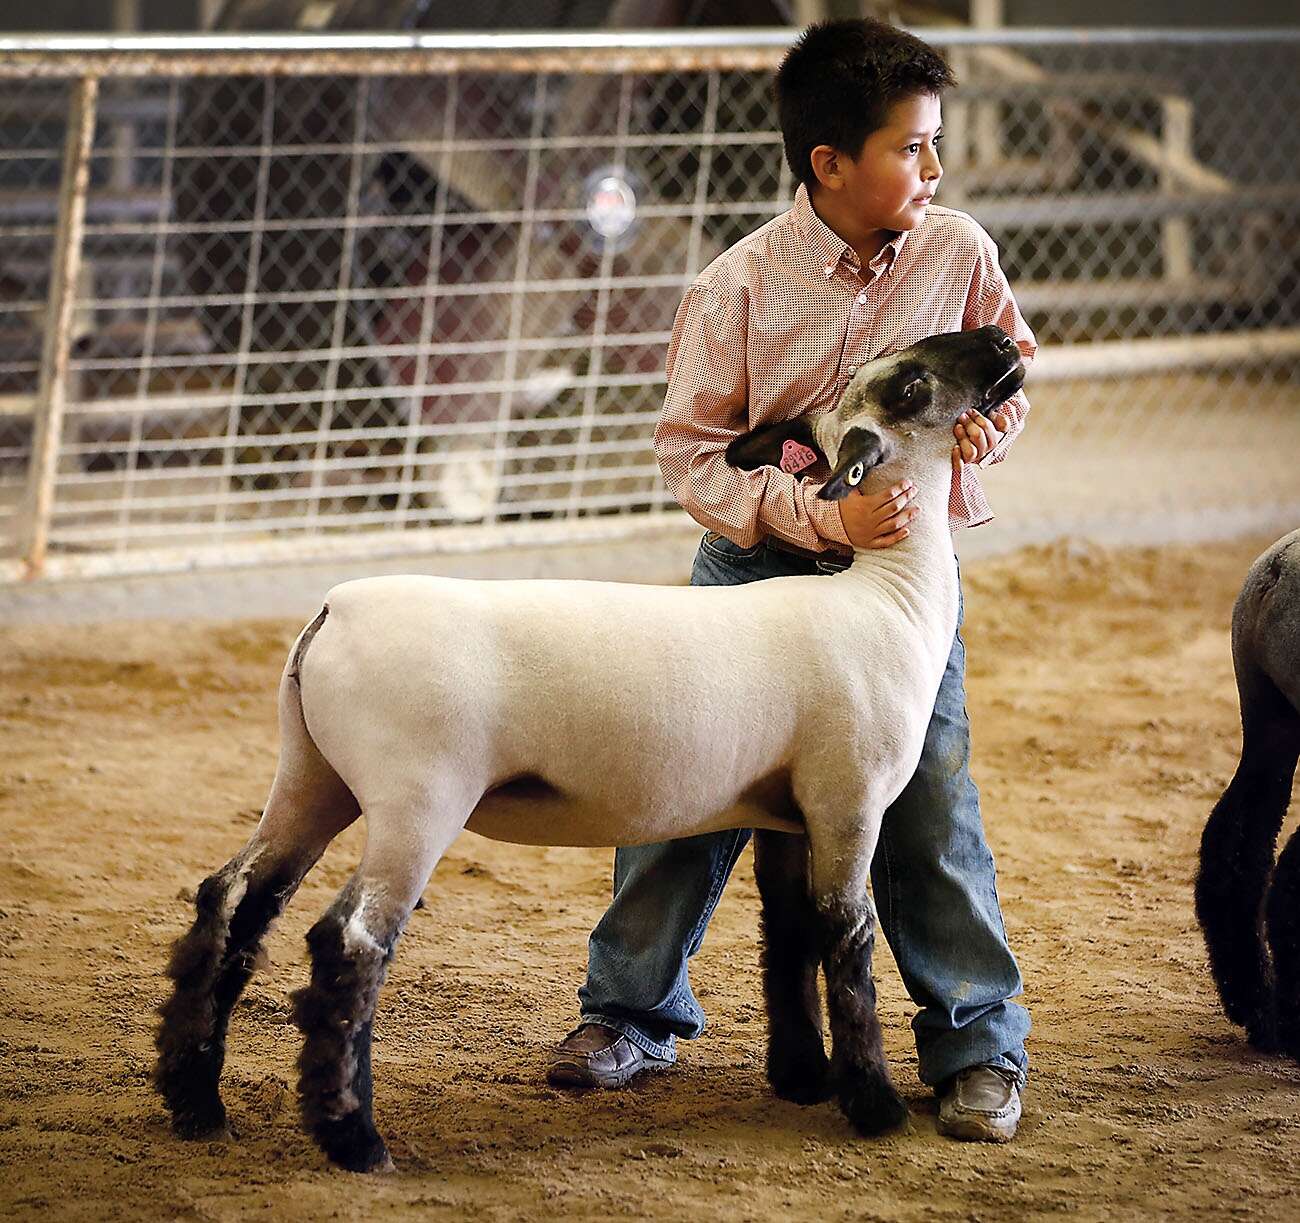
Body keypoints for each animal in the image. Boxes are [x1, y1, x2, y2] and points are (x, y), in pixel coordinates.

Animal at [152, 324, 1024, 1174]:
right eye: (910, 385)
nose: (1002, 340)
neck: (887, 596)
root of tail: (334, 610)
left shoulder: (789, 810)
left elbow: (789, 934)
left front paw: (802, 1077)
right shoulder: (849, 798)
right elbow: (847, 938)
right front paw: (871, 1106)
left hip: (311, 775)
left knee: (231, 899)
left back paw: (196, 1102)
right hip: (416, 800)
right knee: (350, 941)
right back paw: (354, 1141)